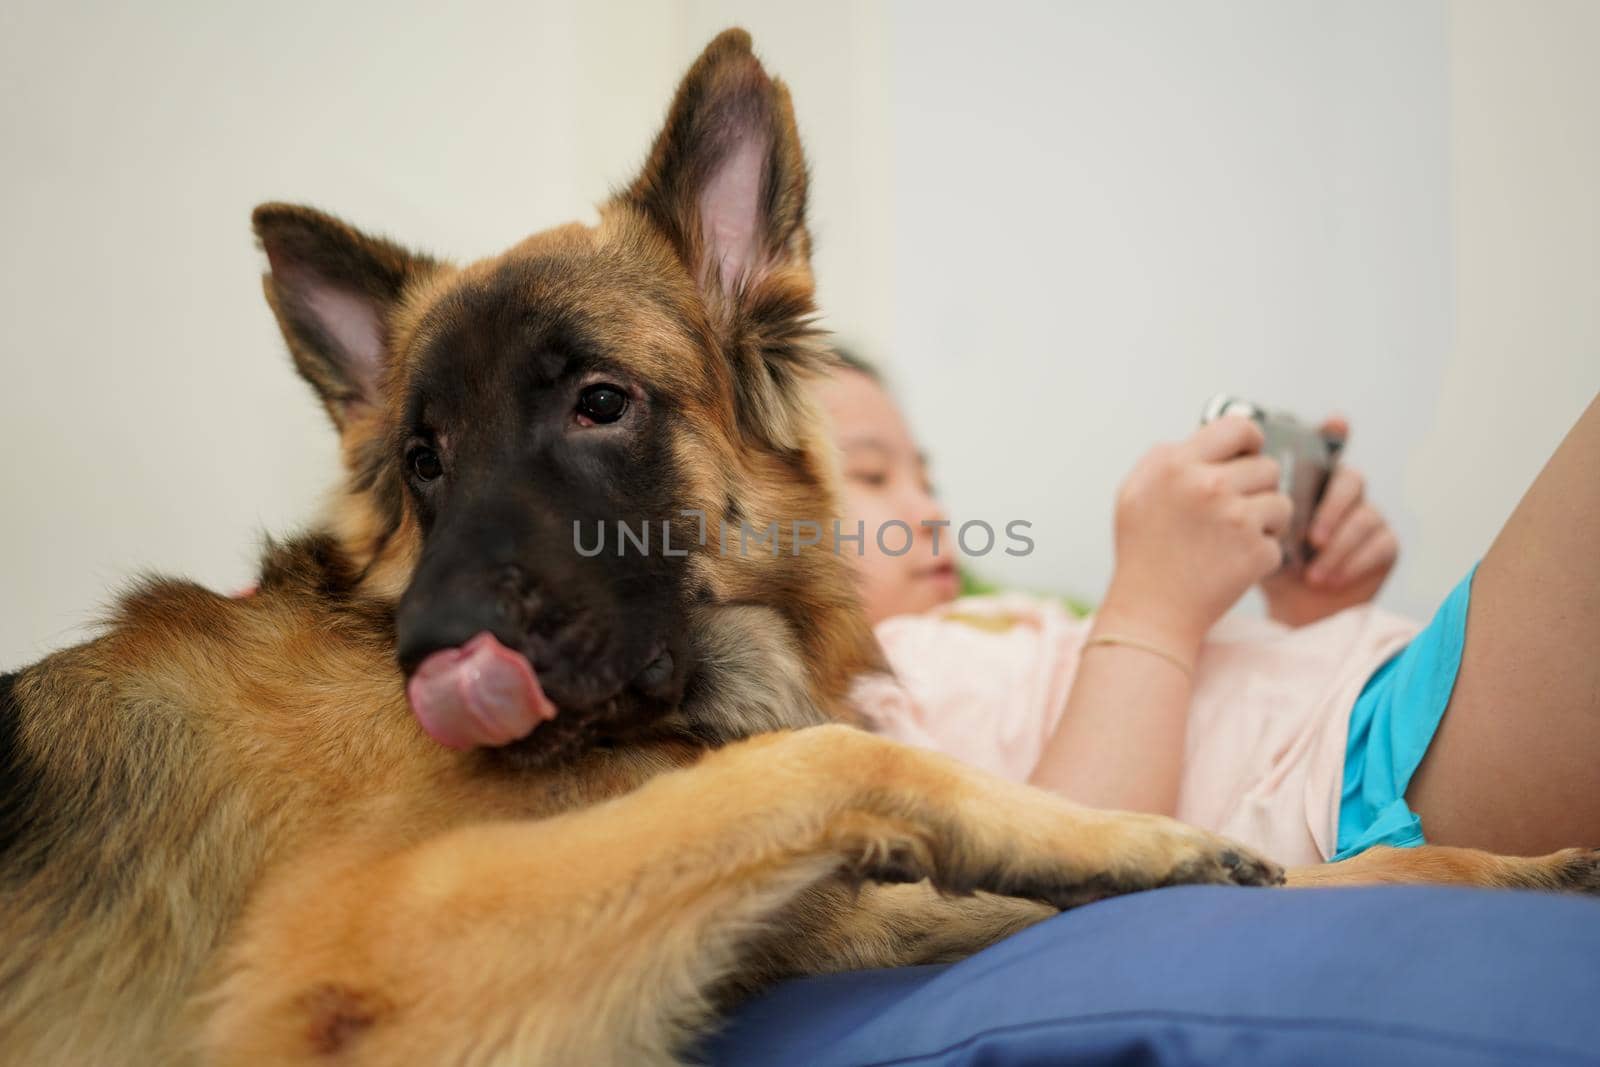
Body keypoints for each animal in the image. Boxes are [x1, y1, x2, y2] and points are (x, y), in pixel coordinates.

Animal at [3, 29, 1600, 1062]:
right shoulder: (366, 944)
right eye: (421, 460)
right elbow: (834, 758)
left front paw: (1470, 868)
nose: (423, 659)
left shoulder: (809, 934)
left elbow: (1266, 889)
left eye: (598, 402)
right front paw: (1122, 829)